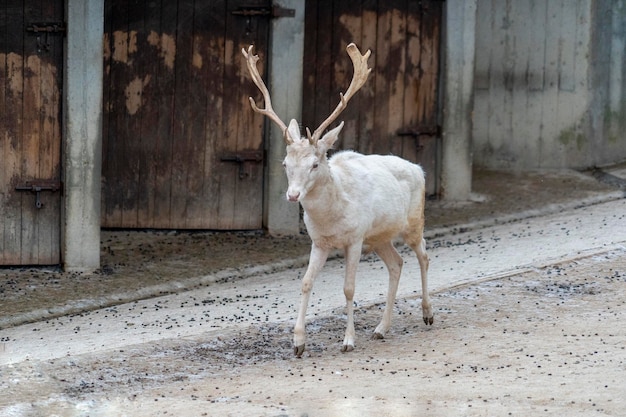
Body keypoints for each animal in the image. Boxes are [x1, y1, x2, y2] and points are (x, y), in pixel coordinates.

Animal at [241, 42, 432, 356]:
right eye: (285, 163)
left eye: (315, 164)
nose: (293, 195)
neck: (333, 218)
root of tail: (419, 168)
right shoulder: (319, 242)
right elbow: (306, 282)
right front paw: (298, 343)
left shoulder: (354, 239)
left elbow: (349, 288)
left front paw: (348, 341)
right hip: (379, 237)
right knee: (397, 263)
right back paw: (381, 329)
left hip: (414, 222)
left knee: (423, 255)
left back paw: (428, 313)